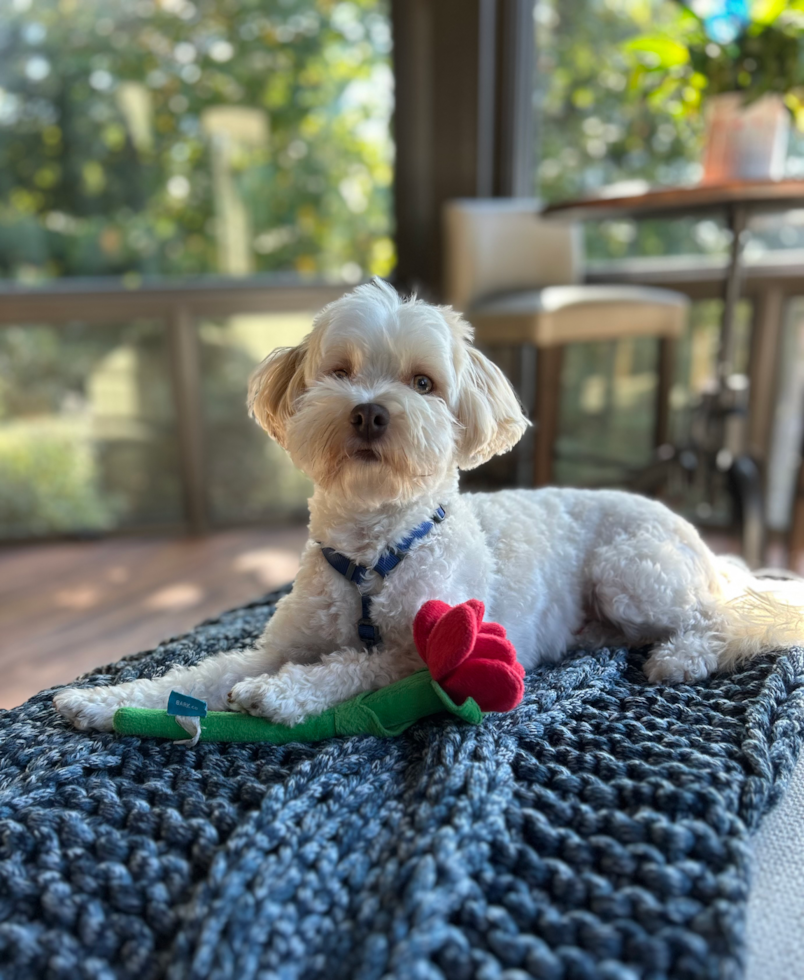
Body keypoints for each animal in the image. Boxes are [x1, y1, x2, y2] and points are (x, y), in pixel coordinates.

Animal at [56, 280, 804, 732]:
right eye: (340, 371)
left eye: (423, 383)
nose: (369, 412)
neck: (372, 552)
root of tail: (698, 540)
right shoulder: (281, 642)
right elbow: (203, 672)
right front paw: (103, 702)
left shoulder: (423, 654)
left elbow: (353, 665)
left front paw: (281, 694)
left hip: (630, 571)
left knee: (720, 619)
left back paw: (682, 656)